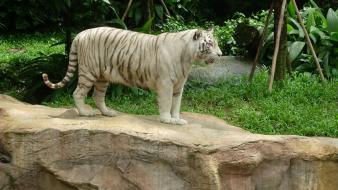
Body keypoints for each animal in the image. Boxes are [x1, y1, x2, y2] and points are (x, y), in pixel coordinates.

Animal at [42, 26, 222, 124]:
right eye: (210, 44)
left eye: (217, 43)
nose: (220, 54)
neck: (187, 58)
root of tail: (80, 34)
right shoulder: (166, 83)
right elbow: (166, 103)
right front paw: (167, 120)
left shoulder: (179, 85)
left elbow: (176, 105)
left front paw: (177, 119)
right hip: (89, 72)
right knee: (78, 93)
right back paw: (85, 113)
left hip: (102, 77)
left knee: (97, 96)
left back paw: (108, 113)